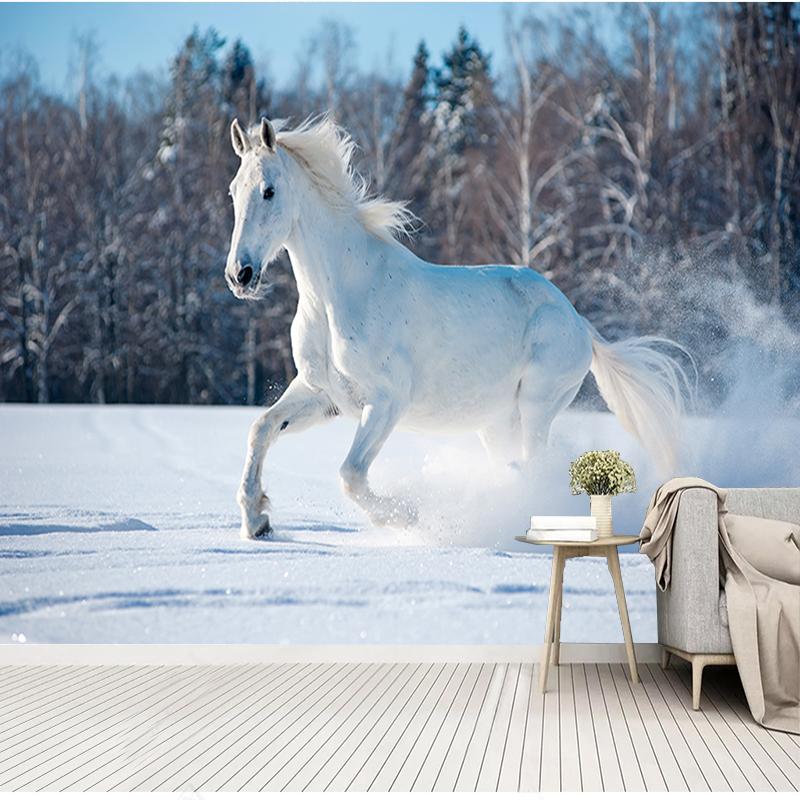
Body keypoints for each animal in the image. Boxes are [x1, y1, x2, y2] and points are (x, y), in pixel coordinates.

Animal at [225, 116, 690, 540]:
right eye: (233, 191)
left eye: (269, 190)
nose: (239, 275)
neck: (338, 294)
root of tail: (578, 322)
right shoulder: (322, 394)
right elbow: (260, 429)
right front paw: (257, 521)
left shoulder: (387, 401)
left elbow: (351, 474)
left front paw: (408, 517)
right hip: (496, 423)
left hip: (537, 406)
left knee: (535, 466)